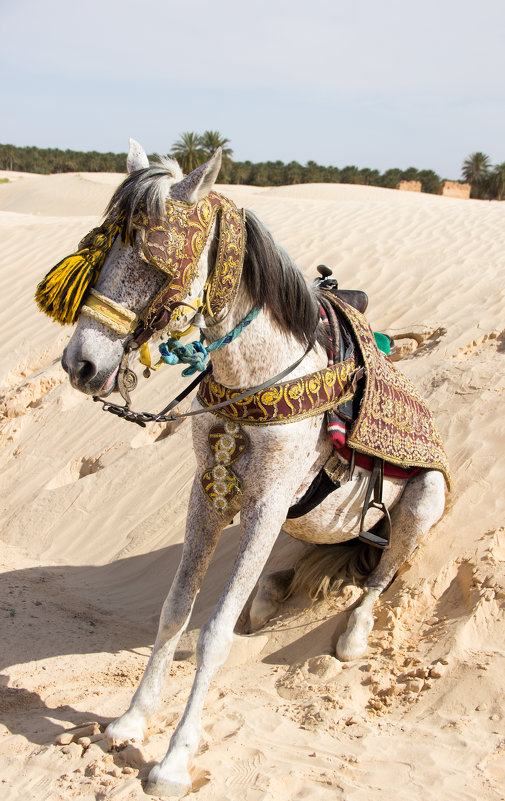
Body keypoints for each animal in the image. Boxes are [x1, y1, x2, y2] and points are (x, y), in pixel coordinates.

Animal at [50, 141, 444, 796]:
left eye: (157, 263)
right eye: (103, 251)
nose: (81, 364)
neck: (259, 376)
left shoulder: (265, 504)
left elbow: (213, 633)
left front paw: (174, 760)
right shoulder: (207, 495)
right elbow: (175, 608)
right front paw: (131, 720)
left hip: (423, 500)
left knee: (383, 573)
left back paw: (353, 633)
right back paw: (269, 594)